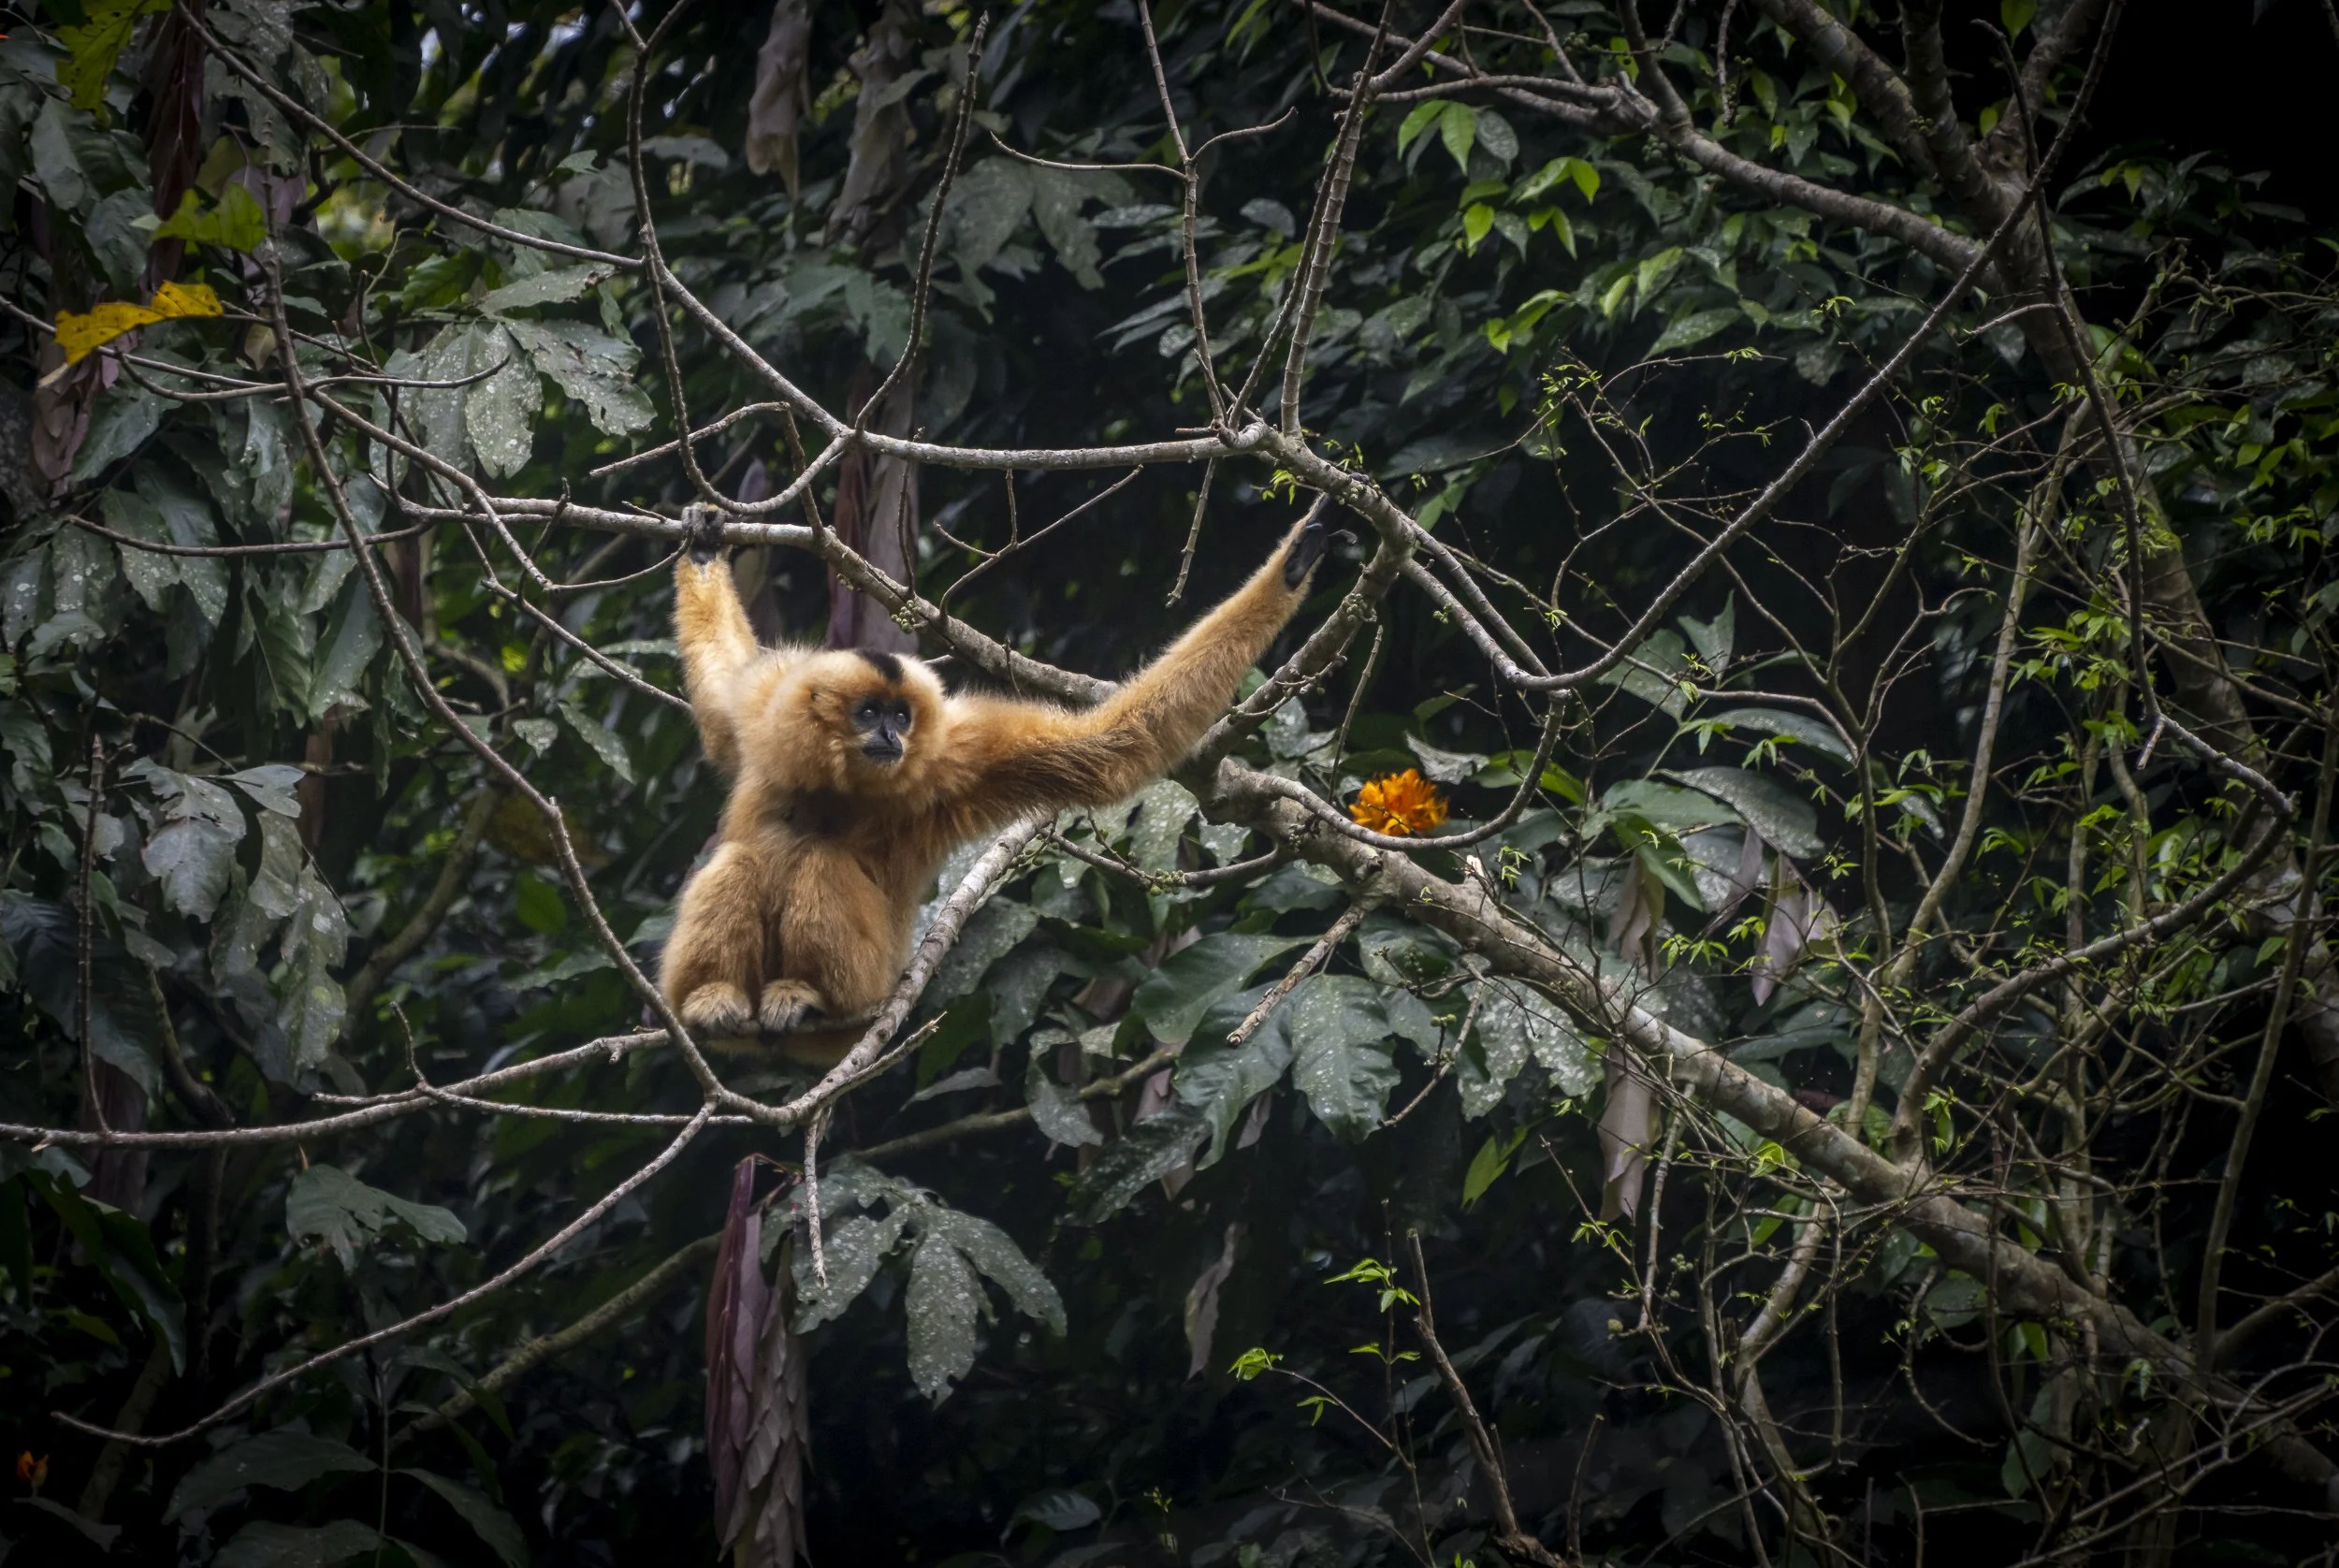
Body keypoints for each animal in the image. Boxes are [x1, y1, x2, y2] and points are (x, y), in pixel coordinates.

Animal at [659, 504, 1333, 1065]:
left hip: (870, 986)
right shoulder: (765, 713)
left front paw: (1292, 567)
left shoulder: (957, 754)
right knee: (741, 861)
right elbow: (721, 707)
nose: (893, 736)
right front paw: (703, 551)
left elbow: (1111, 748)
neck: (836, 788)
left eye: (902, 715)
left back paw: (804, 995)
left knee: (813, 861)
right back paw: (713, 998)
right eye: (871, 713)